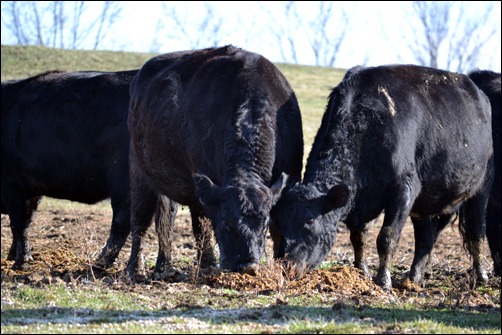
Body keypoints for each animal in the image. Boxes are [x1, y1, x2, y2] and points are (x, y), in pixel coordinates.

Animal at [0, 69, 177, 272]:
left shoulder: (13, 187)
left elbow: (19, 224)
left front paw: (21, 261)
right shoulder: (31, 189)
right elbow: (24, 222)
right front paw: (14, 255)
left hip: (125, 181)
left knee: (128, 219)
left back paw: (109, 264)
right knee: (164, 220)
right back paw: (162, 267)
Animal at [127, 45, 304, 278]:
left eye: (264, 224)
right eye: (227, 225)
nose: (248, 265)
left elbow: (280, 228)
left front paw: (283, 267)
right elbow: (205, 226)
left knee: (166, 219)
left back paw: (166, 266)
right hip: (140, 171)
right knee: (141, 219)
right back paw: (135, 269)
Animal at [272, 64, 492, 290]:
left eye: (309, 221)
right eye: (277, 222)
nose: (286, 266)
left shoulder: (404, 189)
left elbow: (387, 237)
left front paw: (383, 281)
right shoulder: (359, 203)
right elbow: (357, 237)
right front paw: (362, 272)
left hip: (482, 186)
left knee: (476, 230)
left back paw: (480, 276)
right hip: (425, 203)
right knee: (425, 238)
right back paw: (413, 279)